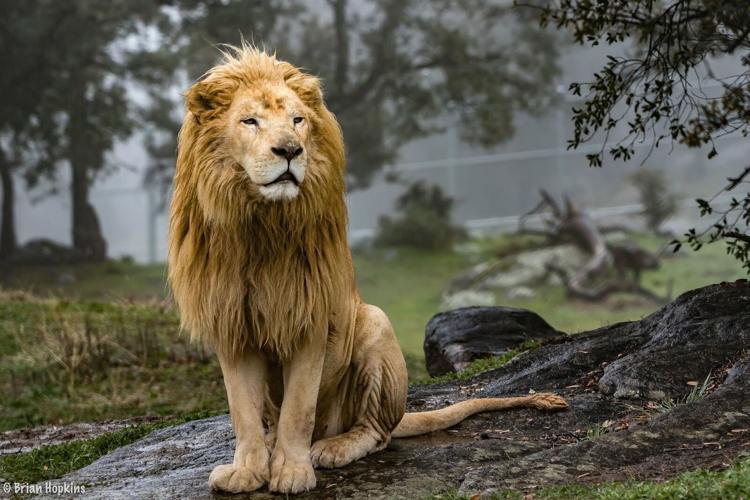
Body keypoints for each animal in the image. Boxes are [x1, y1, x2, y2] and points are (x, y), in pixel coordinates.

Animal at [168, 46, 567, 495]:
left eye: (297, 121)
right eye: (249, 121)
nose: (290, 151)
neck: (259, 225)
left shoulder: (310, 318)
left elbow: (298, 409)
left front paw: (292, 472)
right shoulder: (232, 323)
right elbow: (243, 412)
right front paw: (248, 471)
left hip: (374, 324)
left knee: (376, 432)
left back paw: (331, 448)